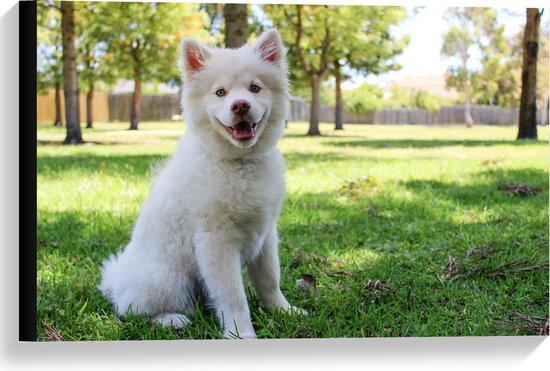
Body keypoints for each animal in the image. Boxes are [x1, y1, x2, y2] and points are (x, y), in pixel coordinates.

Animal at [101, 29, 304, 340]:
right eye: (220, 92)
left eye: (255, 88)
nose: (240, 105)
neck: (238, 163)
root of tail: (117, 282)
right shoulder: (215, 241)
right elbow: (233, 295)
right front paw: (241, 334)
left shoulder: (266, 234)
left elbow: (270, 280)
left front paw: (284, 311)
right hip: (168, 279)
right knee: (132, 310)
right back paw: (171, 319)